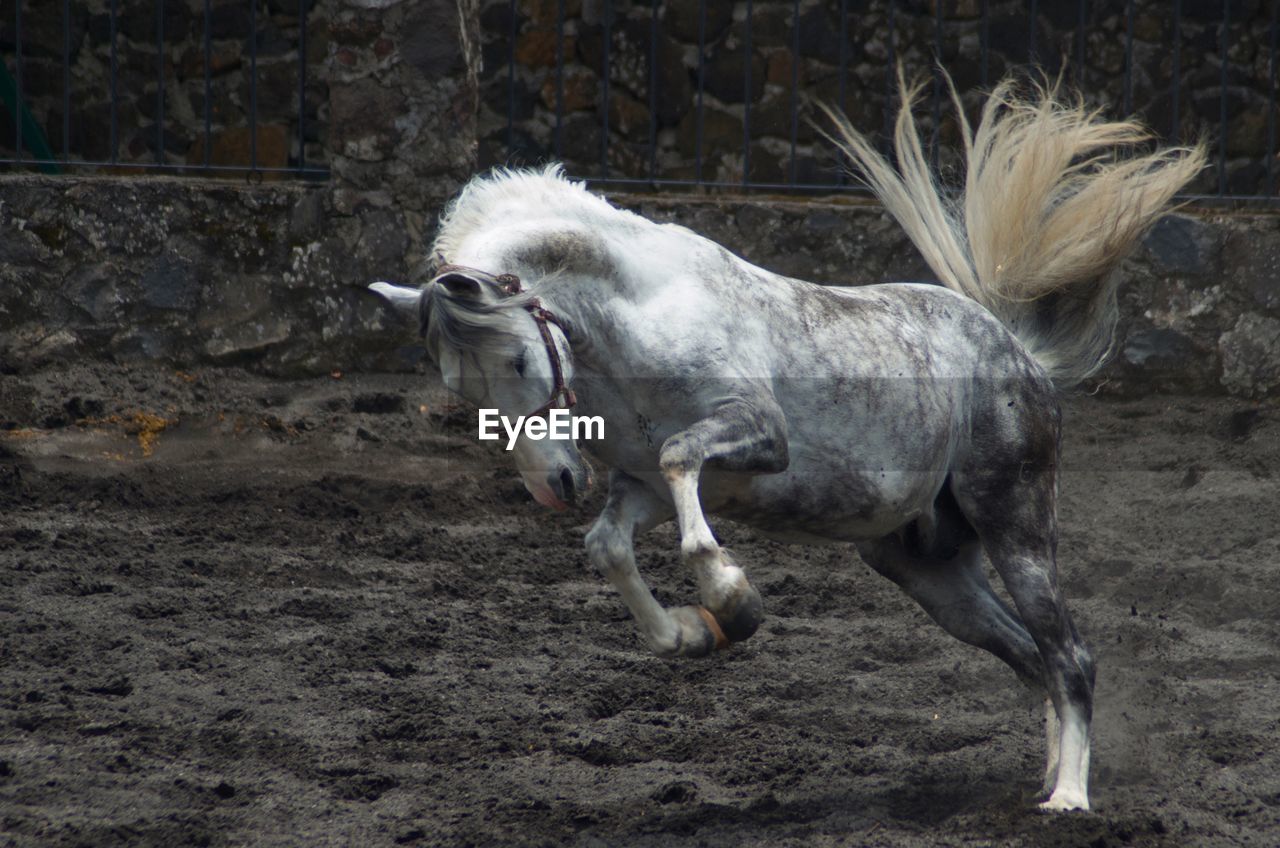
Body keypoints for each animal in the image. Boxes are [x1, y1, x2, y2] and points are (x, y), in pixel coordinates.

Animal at [371, 74, 1208, 819]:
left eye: (518, 360)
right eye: (460, 387)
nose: (553, 485)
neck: (640, 316)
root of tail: (1016, 350)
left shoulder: (755, 437)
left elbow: (684, 468)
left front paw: (729, 595)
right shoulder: (640, 490)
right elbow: (608, 545)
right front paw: (695, 632)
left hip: (1017, 524)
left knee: (1069, 656)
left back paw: (1069, 798)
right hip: (928, 569)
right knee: (1030, 656)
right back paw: (1044, 779)